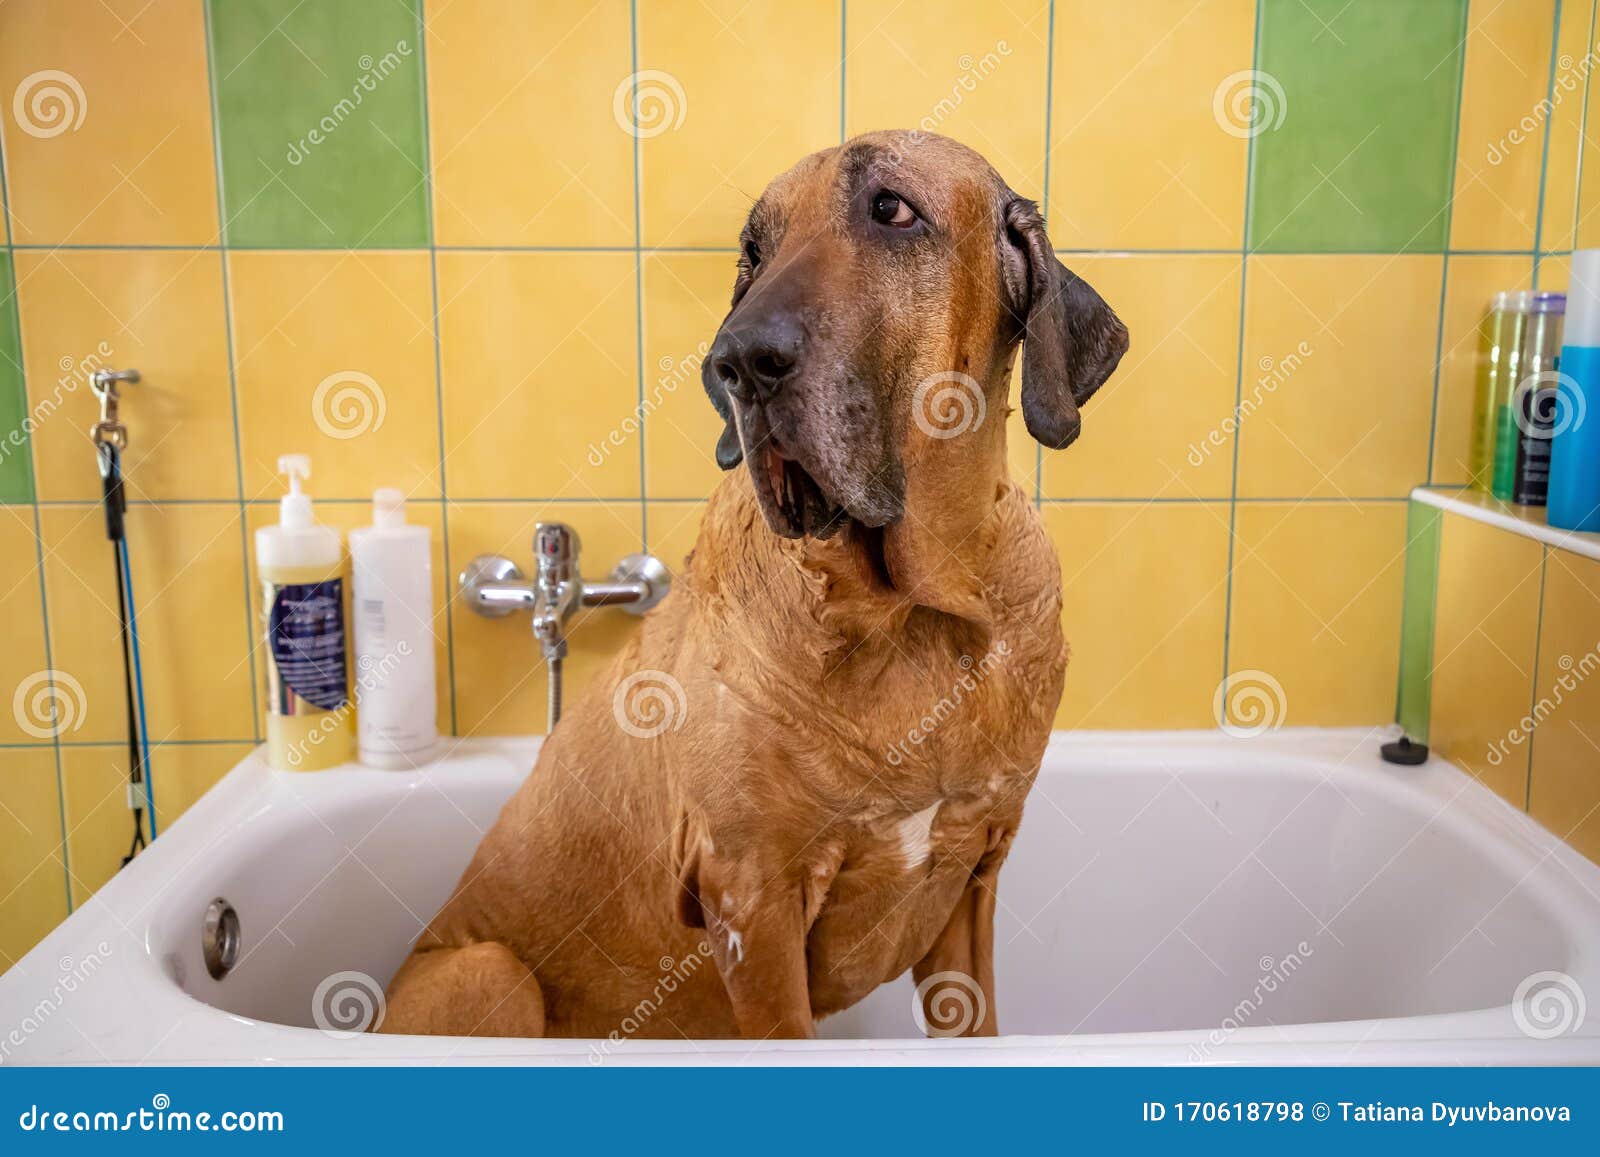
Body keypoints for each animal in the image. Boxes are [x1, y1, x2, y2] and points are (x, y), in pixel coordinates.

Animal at [377, 133, 1126, 1043]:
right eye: (753, 251)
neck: (916, 610)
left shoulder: (971, 870)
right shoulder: (754, 900)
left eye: (893, 210)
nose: (737, 363)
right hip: (489, 971)